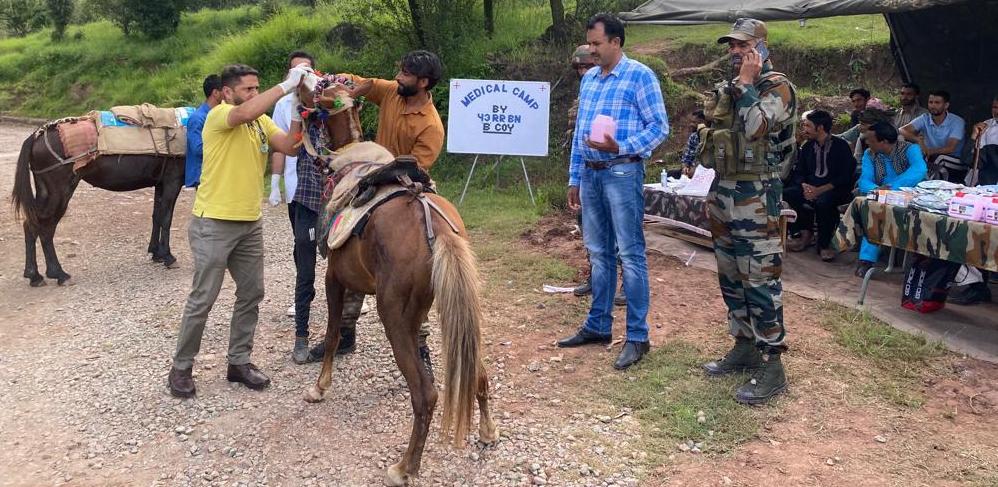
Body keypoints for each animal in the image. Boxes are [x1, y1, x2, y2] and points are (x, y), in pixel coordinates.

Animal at [11, 127, 185, 286]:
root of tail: (37, 136)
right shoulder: (172, 181)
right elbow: (166, 219)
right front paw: (168, 256)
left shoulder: (160, 183)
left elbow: (157, 217)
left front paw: (156, 253)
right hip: (59, 193)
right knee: (46, 229)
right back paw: (58, 273)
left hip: (45, 192)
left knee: (31, 225)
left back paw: (34, 276)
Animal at [296, 79, 500, 484]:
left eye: (319, 88)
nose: (299, 87)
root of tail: (439, 229)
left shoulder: (334, 278)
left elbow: (332, 333)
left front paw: (319, 387)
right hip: (452, 314)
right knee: (476, 374)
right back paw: (487, 432)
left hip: (394, 315)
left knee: (425, 395)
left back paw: (405, 467)